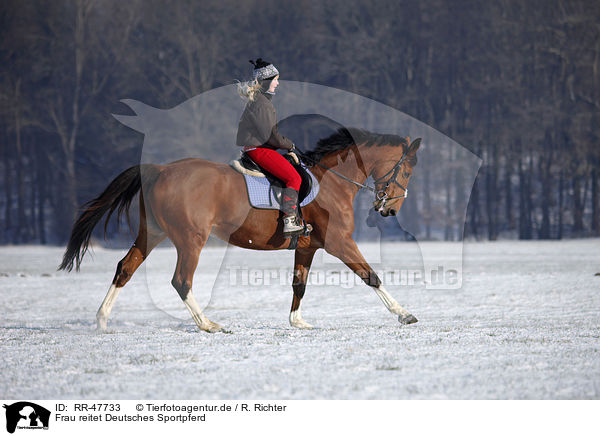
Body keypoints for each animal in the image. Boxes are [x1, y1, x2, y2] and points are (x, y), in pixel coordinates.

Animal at [58, 127, 420, 332]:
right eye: (406, 172)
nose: (390, 209)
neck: (332, 181)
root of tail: (159, 170)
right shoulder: (339, 242)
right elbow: (370, 275)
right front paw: (404, 314)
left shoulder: (307, 246)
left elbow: (299, 284)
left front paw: (297, 321)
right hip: (191, 240)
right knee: (181, 281)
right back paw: (208, 325)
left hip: (152, 234)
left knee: (125, 268)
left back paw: (102, 321)